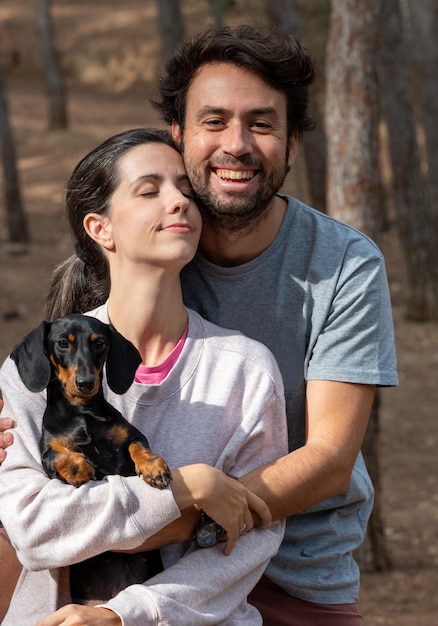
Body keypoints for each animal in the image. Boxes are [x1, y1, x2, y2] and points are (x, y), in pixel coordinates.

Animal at [9, 314, 172, 604]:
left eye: (101, 344)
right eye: (63, 343)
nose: (86, 383)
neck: (82, 413)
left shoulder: (132, 435)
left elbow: (137, 447)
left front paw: (153, 466)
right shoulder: (48, 455)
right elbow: (57, 454)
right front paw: (79, 467)